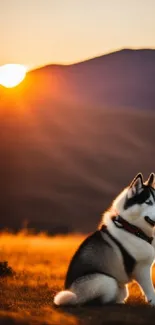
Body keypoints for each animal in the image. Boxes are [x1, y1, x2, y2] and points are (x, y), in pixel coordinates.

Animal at [53, 173, 155, 306]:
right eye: (148, 202)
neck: (131, 228)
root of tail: (71, 292)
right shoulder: (141, 269)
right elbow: (150, 290)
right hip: (106, 281)